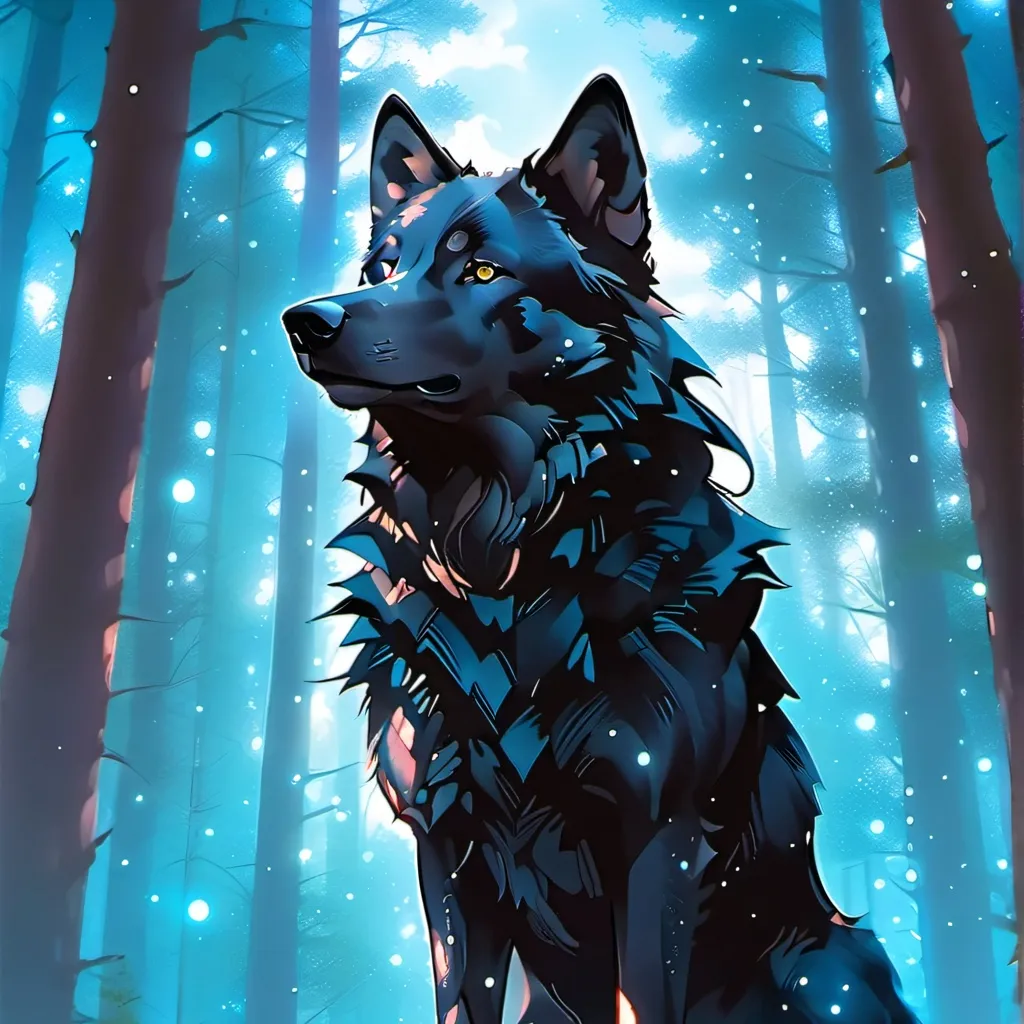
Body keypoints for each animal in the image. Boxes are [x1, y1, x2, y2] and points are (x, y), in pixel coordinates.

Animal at [282, 75, 919, 1024]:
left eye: (480, 269)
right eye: (380, 270)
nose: (305, 319)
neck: (504, 558)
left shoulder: (660, 836)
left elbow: (644, 997)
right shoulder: (446, 846)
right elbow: (461, 999)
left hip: (833, 964)